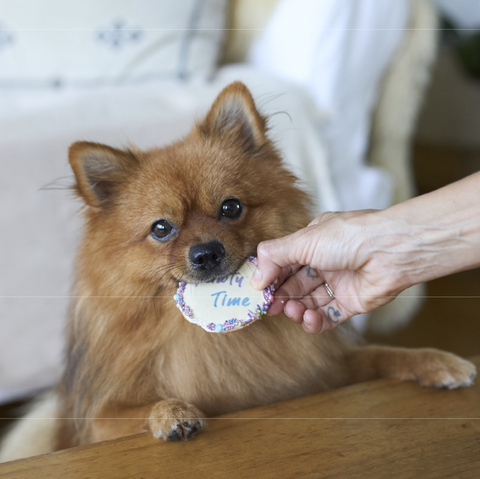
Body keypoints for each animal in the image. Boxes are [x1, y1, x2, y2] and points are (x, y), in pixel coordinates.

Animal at [0, 81, 474, 462]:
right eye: (161, 229)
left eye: (230, 208)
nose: (206, 252)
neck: (216, 342)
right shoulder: (98, 418)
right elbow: (132, 413)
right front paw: (171, 412)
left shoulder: (326, 372)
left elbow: (381, 353)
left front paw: (437, 362)